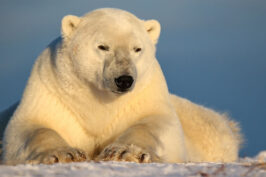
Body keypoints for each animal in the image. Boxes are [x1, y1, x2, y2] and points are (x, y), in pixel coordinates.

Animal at [1, 8, 242, 165]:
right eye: (102, 46)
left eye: (137, 48)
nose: (124, 80)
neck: (99, 100)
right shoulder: (50, 88)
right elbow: (30, 126)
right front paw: (64, 154)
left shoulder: (147, 91)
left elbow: (156, 124)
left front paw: (124, 152)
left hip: (209, 130)